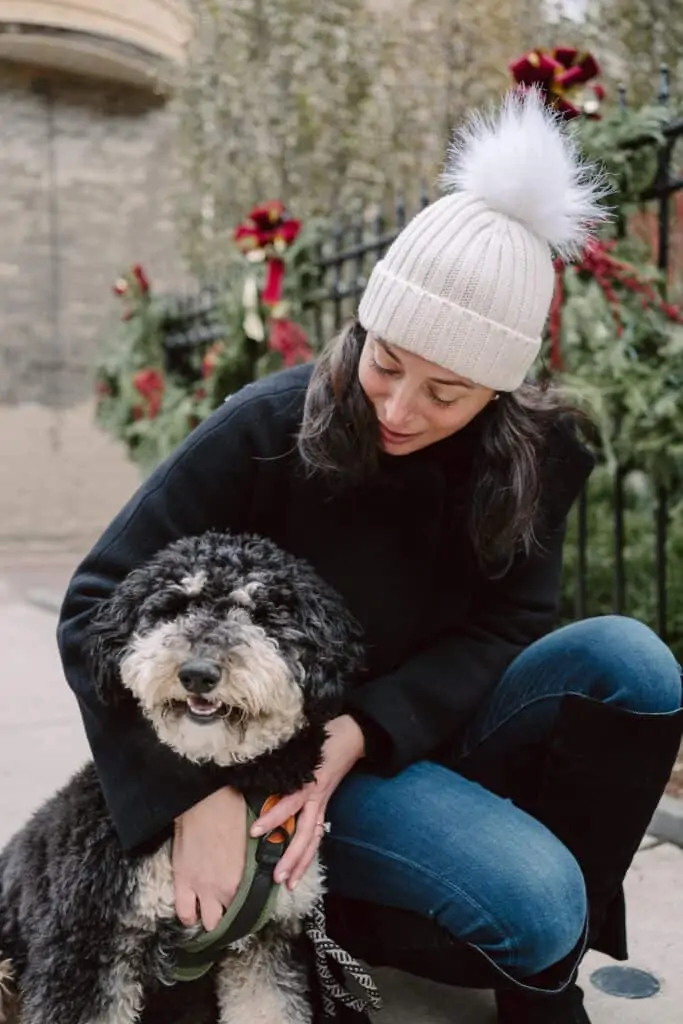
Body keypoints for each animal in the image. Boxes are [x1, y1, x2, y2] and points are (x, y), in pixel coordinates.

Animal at [0, 532, 366, 1024]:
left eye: (263, 614)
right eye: (174, 607)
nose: (197, 674)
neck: (234, 779)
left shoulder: (268, 943)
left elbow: (268, 1007)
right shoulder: (84, 944)